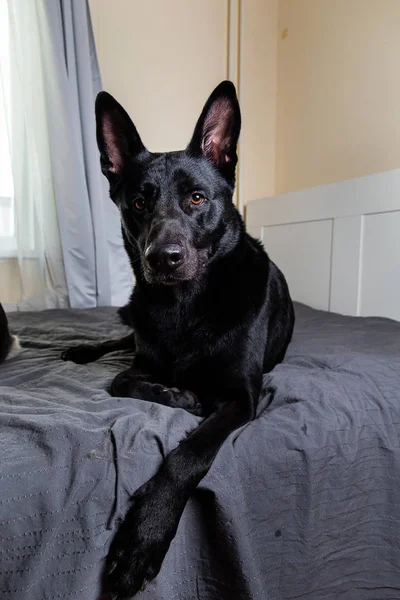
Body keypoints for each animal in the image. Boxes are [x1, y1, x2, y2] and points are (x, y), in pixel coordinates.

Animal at [62, 82, 294, 596]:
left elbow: (188, 455)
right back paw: (82, 349)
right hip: (132, 321)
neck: (185, 306)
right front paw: (176, 394)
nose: (162, 258)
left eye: (197, 198)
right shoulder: (142, 362)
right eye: (138, 203)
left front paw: (144, 536)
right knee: (120, 340)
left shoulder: (242, 398)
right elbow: (123, 381)